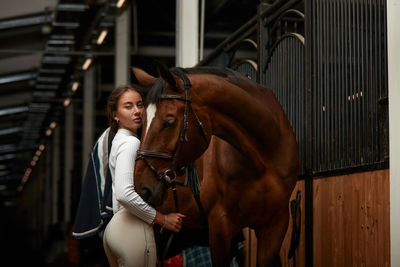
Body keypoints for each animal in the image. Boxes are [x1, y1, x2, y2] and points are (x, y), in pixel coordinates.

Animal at [133, 63, 298, 266]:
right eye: (141, 121)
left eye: (169, 121)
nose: (141, 188)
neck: (262, 157)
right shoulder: (220, 225)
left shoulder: (275, 224)